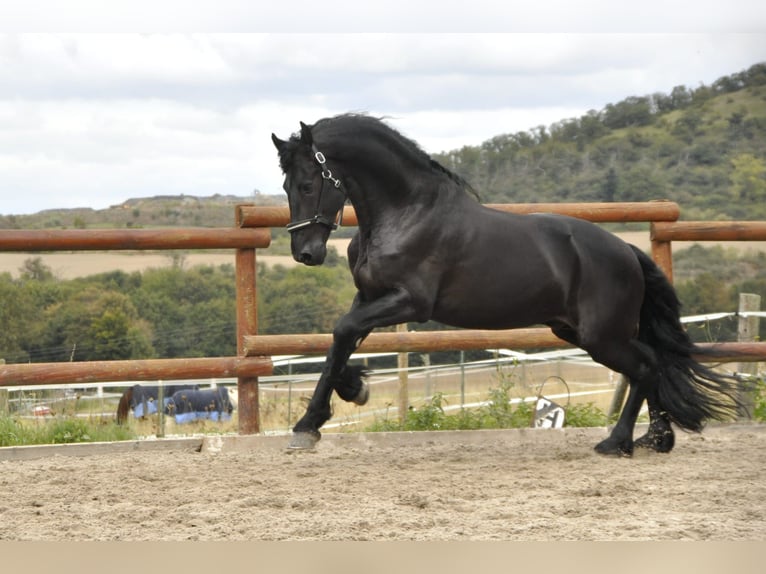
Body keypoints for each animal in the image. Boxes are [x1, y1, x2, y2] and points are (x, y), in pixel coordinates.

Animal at [272, 115, 748, 456]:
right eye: (286, 185)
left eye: (309, 184)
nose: (305, 253)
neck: (407, 212)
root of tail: (628, 252)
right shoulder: (370, 296)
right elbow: (340, 342)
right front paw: (344, 397)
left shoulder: (410, 303)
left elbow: (342, 332)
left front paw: (314, 421)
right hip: (578, 332)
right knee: (653, 364)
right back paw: (656, 439)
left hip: (602, 336)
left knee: (648, 367)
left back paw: (619, 443)